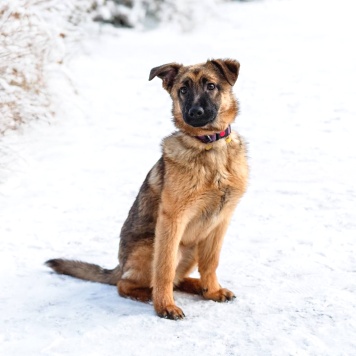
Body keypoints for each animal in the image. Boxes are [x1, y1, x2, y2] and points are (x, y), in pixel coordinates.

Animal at [46, 58, 249, 320]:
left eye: (211, 86)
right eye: (183, 90)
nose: (195, 113)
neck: (209, 146)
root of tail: (119, 266)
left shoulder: (220, 223)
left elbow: (211, 262)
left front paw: (212, 290)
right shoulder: (172, 220)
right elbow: (163, 269)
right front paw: (165, 306)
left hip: (192, 248)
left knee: (177, 279)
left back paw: (198, 286)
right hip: (153, 247)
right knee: (128, 283)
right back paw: (149, 295)